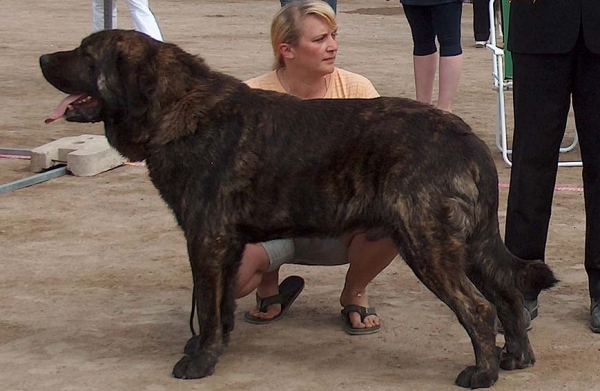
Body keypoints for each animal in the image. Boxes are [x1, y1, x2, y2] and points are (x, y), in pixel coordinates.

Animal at [39, 30, 556, 388]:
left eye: (87, 54)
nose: (43, 58)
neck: (176, 108)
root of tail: (464, 134)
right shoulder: (226, 246)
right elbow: (220, 307)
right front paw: (214, 346)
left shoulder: (205, 239)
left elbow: (205, 304)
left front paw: (198, 362)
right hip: (469, 243)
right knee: (507, 295)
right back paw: (516, 358)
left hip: (425, 242)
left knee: (477, 308)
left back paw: (482, 374)